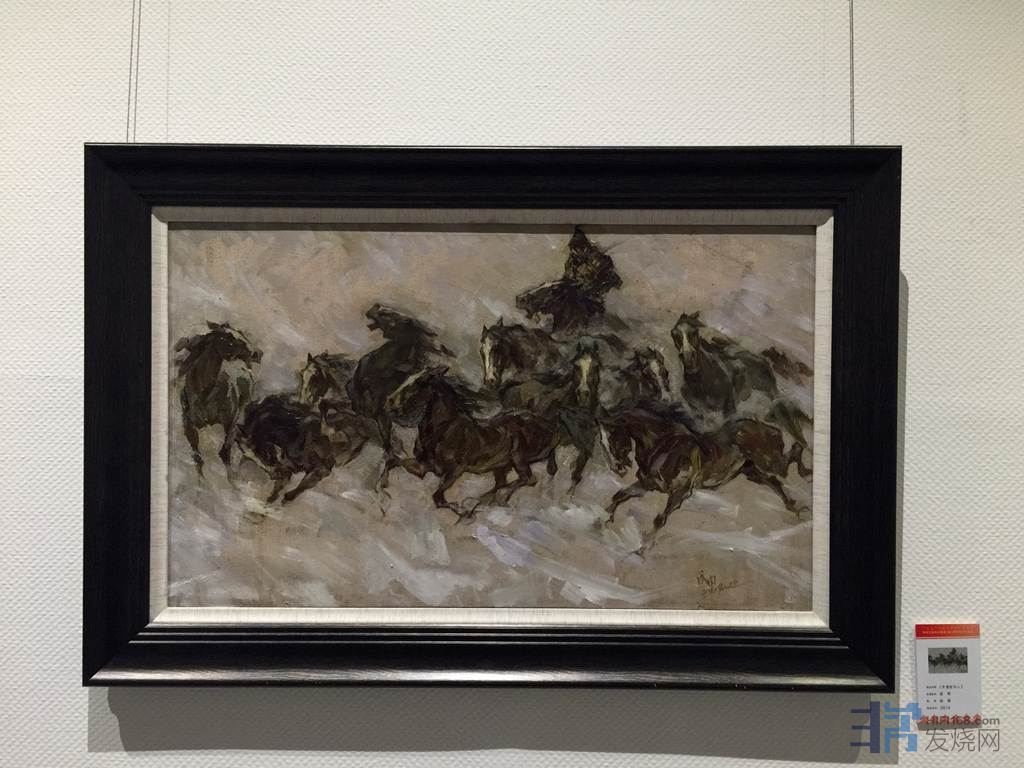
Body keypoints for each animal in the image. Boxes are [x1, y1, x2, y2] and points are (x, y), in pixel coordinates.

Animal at [174, 321, 262, 476]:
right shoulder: (189, 425)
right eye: (230, 339)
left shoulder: (230, 424)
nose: (258, 353)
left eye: (241, 334)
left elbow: (225, 454)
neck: (204, 393)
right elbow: (198, 458)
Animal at [383, 367, 562, 518]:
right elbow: (393, 461)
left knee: (529, 478)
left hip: (519, 458)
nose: (389, 403)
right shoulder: (424, 466)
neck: (442, 430)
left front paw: (462, 510)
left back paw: (495, 498)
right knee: (504, 482)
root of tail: (546, 424)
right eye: (409, 378)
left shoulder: (455, 470)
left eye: (420, 383)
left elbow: (438, 498)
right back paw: (485, 499)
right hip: (501, 465)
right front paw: (382, 486)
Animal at [598, 405, 808, 553]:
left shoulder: (680, 492)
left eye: (614, 437)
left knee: (794, 452)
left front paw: (643, 548)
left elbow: (660, 519)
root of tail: (768, 428)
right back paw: (795, 508)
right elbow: (620, 495)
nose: (617, 469)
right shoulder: (647, 484)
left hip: (769, 464)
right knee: (775, 483)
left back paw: (806, 476)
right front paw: (601, 520)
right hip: (752, 472)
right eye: (602, 441)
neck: (663, 445)